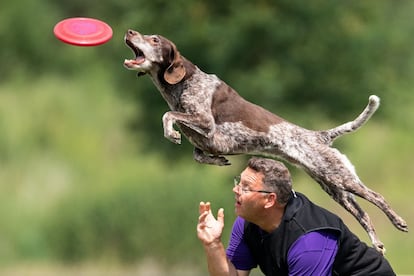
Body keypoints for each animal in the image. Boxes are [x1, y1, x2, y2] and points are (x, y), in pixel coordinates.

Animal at [123, 29, 408, 253]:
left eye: (155, 39)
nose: (129, 32)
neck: (182, 84)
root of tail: (320, 135)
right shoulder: (203, 138)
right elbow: (196, 151)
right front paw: (216, 160)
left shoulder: (205, 122)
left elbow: (168, 115)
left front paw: (171, 133)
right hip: (333, 187)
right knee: (363, 213)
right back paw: (377, 243)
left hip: (341, 178)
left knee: (378, 197)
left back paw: (398, 221)